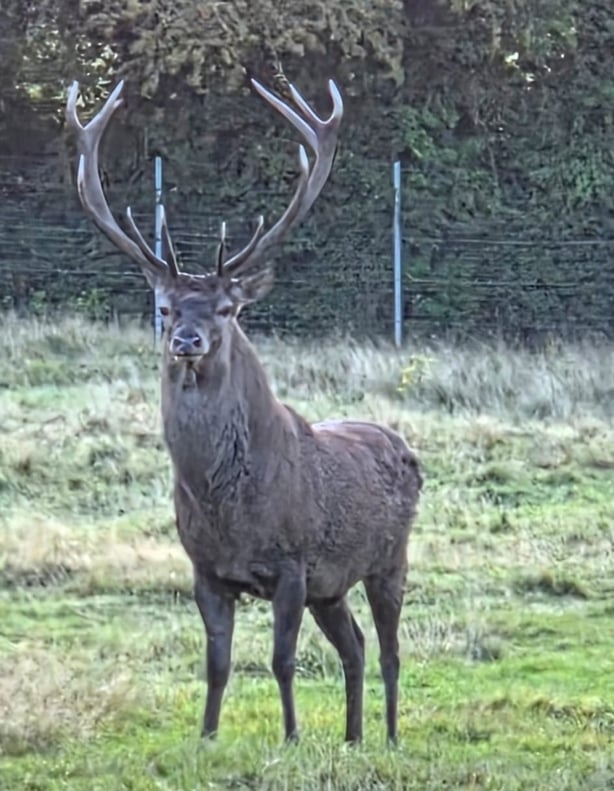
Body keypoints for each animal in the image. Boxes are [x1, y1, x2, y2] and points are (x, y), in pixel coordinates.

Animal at [65, 74, 422, 745]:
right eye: (165, 308)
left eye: (227, 309)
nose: (187, 341)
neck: (230, 507)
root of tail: (403, 444)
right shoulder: (206, 570)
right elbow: (217, 662)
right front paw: (206, 738)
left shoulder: (292, 564)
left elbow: (281, 660)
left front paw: (291, 738)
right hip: (331, 587)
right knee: (356, 646)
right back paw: (352, 737)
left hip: (390, 557)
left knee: (389, 648)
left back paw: (388, 737)